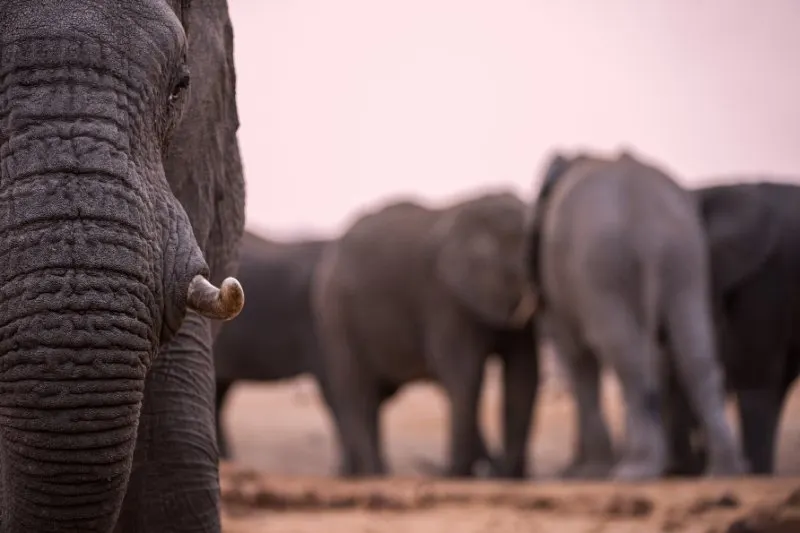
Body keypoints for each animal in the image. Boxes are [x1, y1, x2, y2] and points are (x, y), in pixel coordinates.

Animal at [310, 192, 536, 478]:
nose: (492, 471)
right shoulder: (445, 298)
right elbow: (464, 374)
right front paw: (463, 476)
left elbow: (523, 373)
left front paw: (509, 477)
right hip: (336, 317)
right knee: (356, 392)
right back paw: (378, 475)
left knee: (374, 397)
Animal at [528, 151, 748, 482]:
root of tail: (647, 222)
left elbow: (578, 355)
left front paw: (589, 472)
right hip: (685, 255)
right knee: (695, 352)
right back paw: (723, 471)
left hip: (603, 265)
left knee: (626, 356)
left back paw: (634, 469)